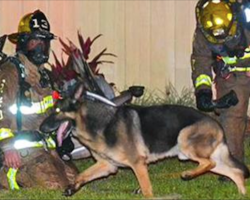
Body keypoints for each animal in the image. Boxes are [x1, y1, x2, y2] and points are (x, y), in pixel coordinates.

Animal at [40, 83, 249, 198]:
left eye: (57, 111)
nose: (40, 128)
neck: (98, 124)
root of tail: (217, 124)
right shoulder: (108, 166)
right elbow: (82, 175)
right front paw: (72, 187)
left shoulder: (138, 164)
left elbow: (147, 190)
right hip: (208, 157)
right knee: (234, 173)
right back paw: (241, 194)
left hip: (185, 141)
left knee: (209, 163)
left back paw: (188, 174)